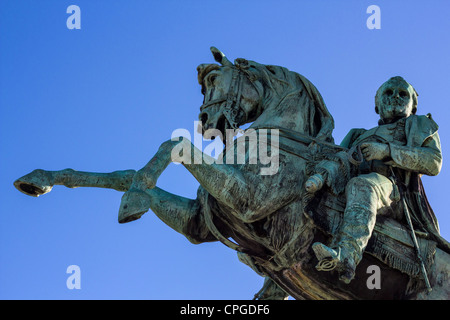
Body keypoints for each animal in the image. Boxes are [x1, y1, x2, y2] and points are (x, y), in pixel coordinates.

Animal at [14, 47, 450, 300]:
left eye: (212, 79)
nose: (207, 121)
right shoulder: (202, 221)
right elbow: (123, 173)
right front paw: (41, 179)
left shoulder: (250, 201)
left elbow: (173, 144)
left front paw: (132, 200)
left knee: (366, 188)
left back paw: (338, 256)